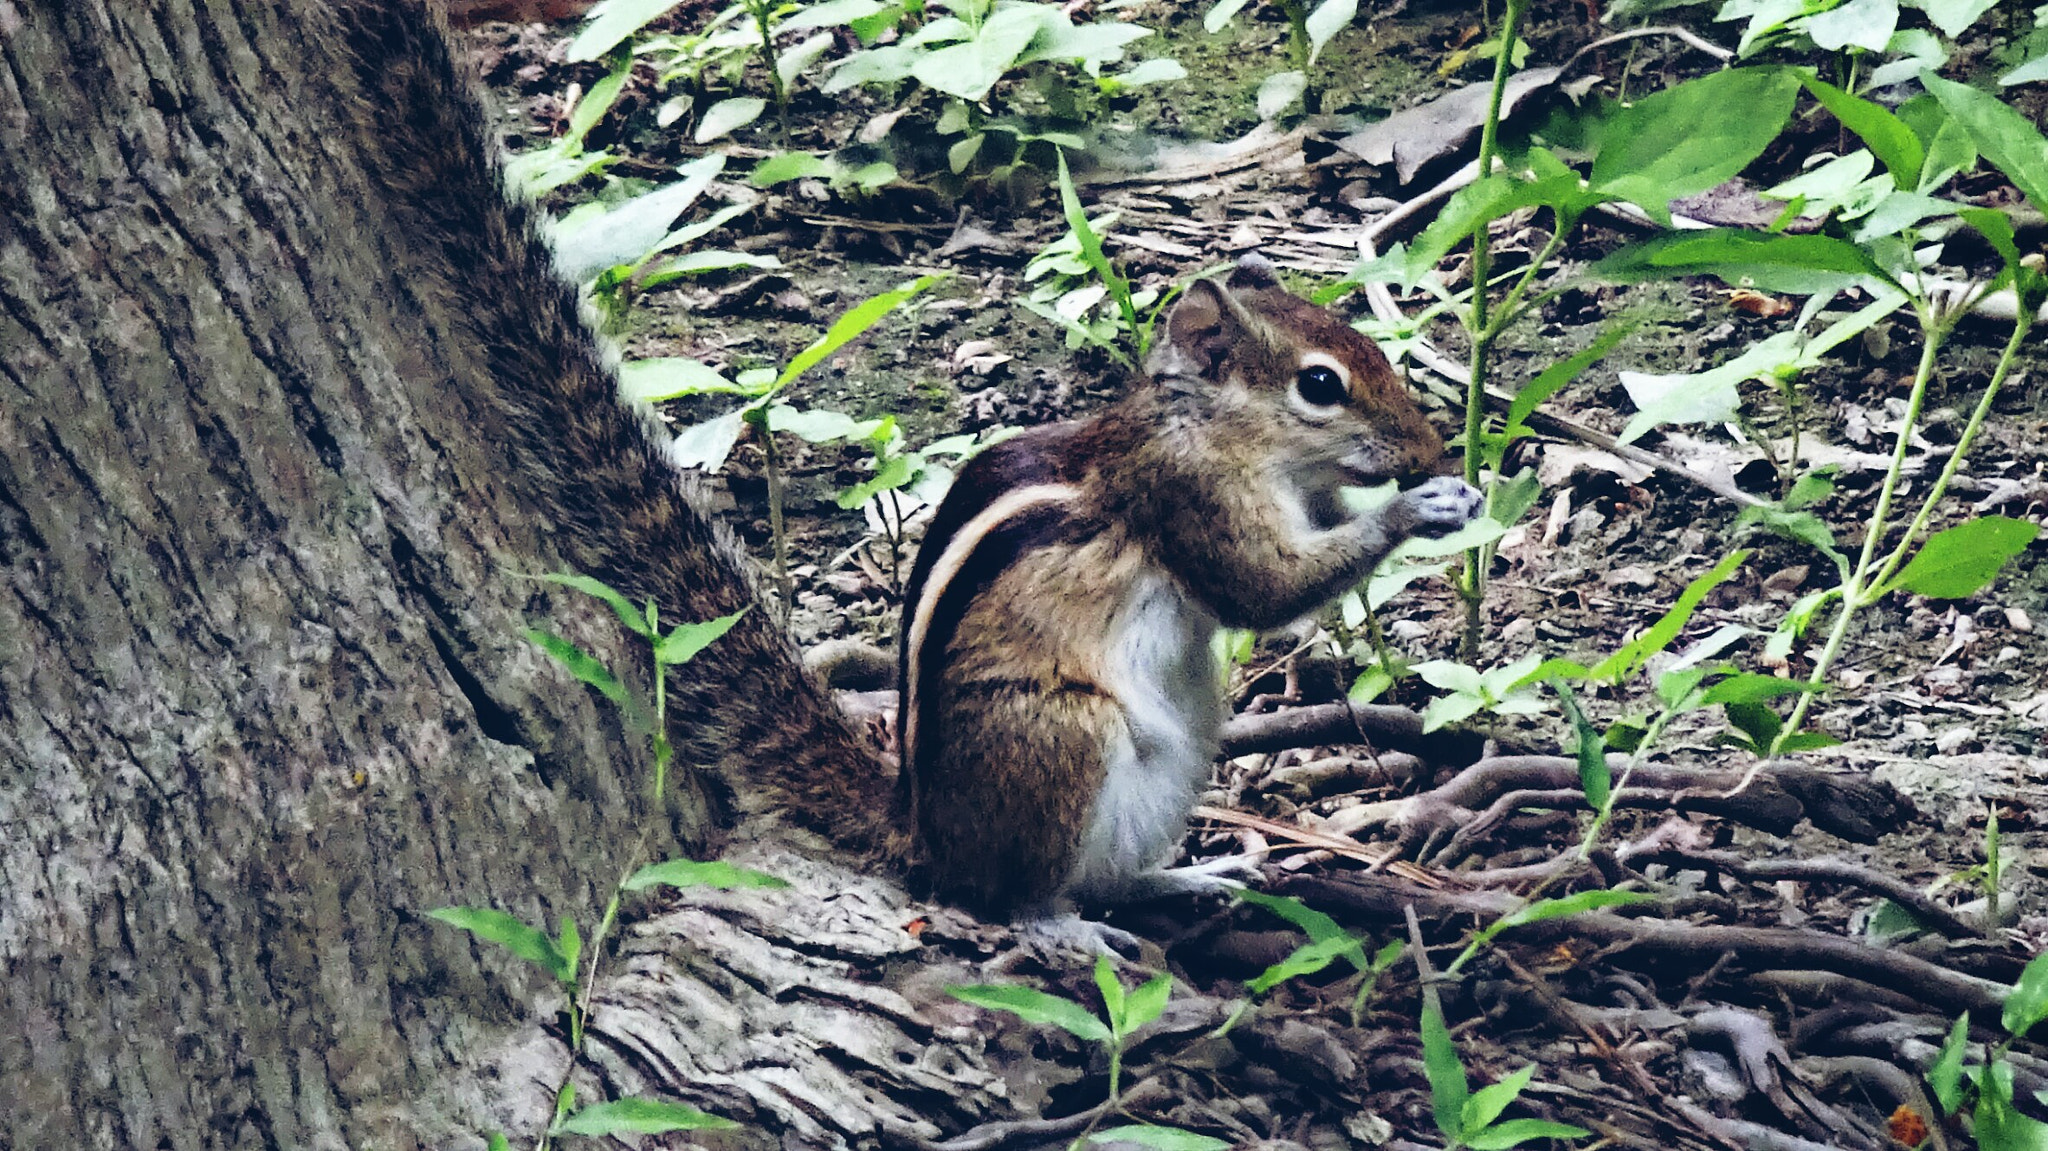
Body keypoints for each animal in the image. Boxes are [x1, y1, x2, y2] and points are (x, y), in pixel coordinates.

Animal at [897, 259, 1482, 923]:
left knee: (1108, 881)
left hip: (1192, 741)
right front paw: (1416, 508)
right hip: (1061, 737)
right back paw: (1063, 925)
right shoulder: (1193, 498)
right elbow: (1265, 591)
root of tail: (929, 845)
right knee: (1013, 897)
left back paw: (1188, 878)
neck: (1208, 427)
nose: (1431, 453)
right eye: (1320, 384)